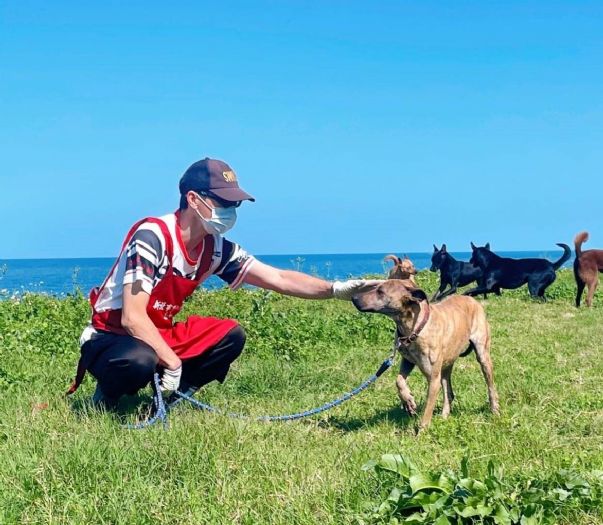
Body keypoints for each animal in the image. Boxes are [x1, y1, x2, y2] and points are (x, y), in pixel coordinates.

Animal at [352, 280, 498, 432]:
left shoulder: (433, 379)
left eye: (380, 291)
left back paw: (494, 410)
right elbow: (399, 380)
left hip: (483, 355)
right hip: (446, 364)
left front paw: (421, 432)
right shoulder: (407, 361)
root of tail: (472, 300)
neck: (415, 328)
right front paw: (408, 400)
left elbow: (427, 410)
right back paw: (444, 415)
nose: (353, 298)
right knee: (448, 393)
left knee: (490, 387)